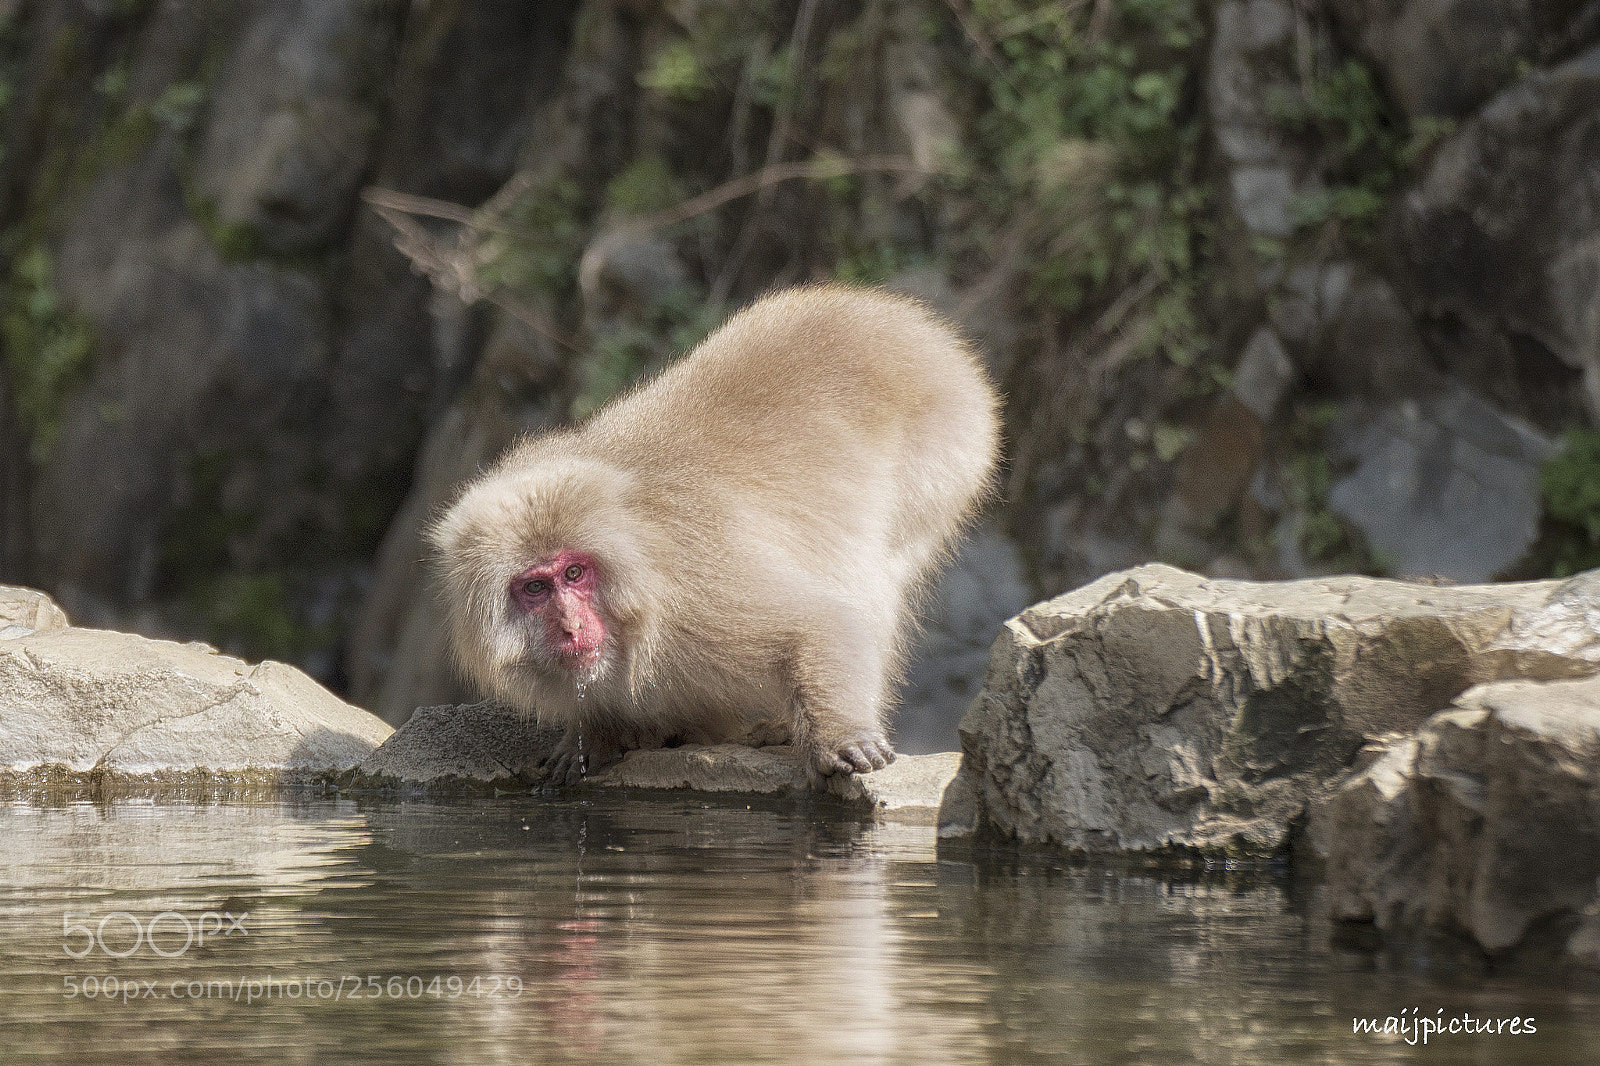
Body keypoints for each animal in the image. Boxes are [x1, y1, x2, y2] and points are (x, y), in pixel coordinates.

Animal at [430, 283, 1000, 785]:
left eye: (574, 573)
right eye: (535, 587)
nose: (570, 627)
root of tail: (894, 316)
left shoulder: (698, 596)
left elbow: (821, 623)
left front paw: (841, 736)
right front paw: (595, 735)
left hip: (949, 443)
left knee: (876, 568)